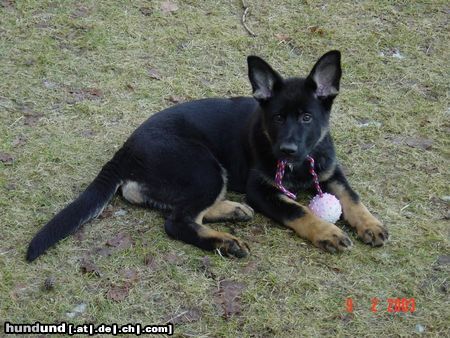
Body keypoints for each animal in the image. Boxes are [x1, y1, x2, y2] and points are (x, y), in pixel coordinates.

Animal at [26, 50, 388, 262]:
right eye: (277, 118)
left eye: (307, 118)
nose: (287, 151)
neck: (301, 163)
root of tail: (123, 152)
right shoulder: (261, 189)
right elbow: (296, 209)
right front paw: (327, 232)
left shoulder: (331, 172)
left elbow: (352, 198)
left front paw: (370, 225)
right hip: (204, 167)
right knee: (177, 221)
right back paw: (226, 242)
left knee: (177, 208)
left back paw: (232, 211)